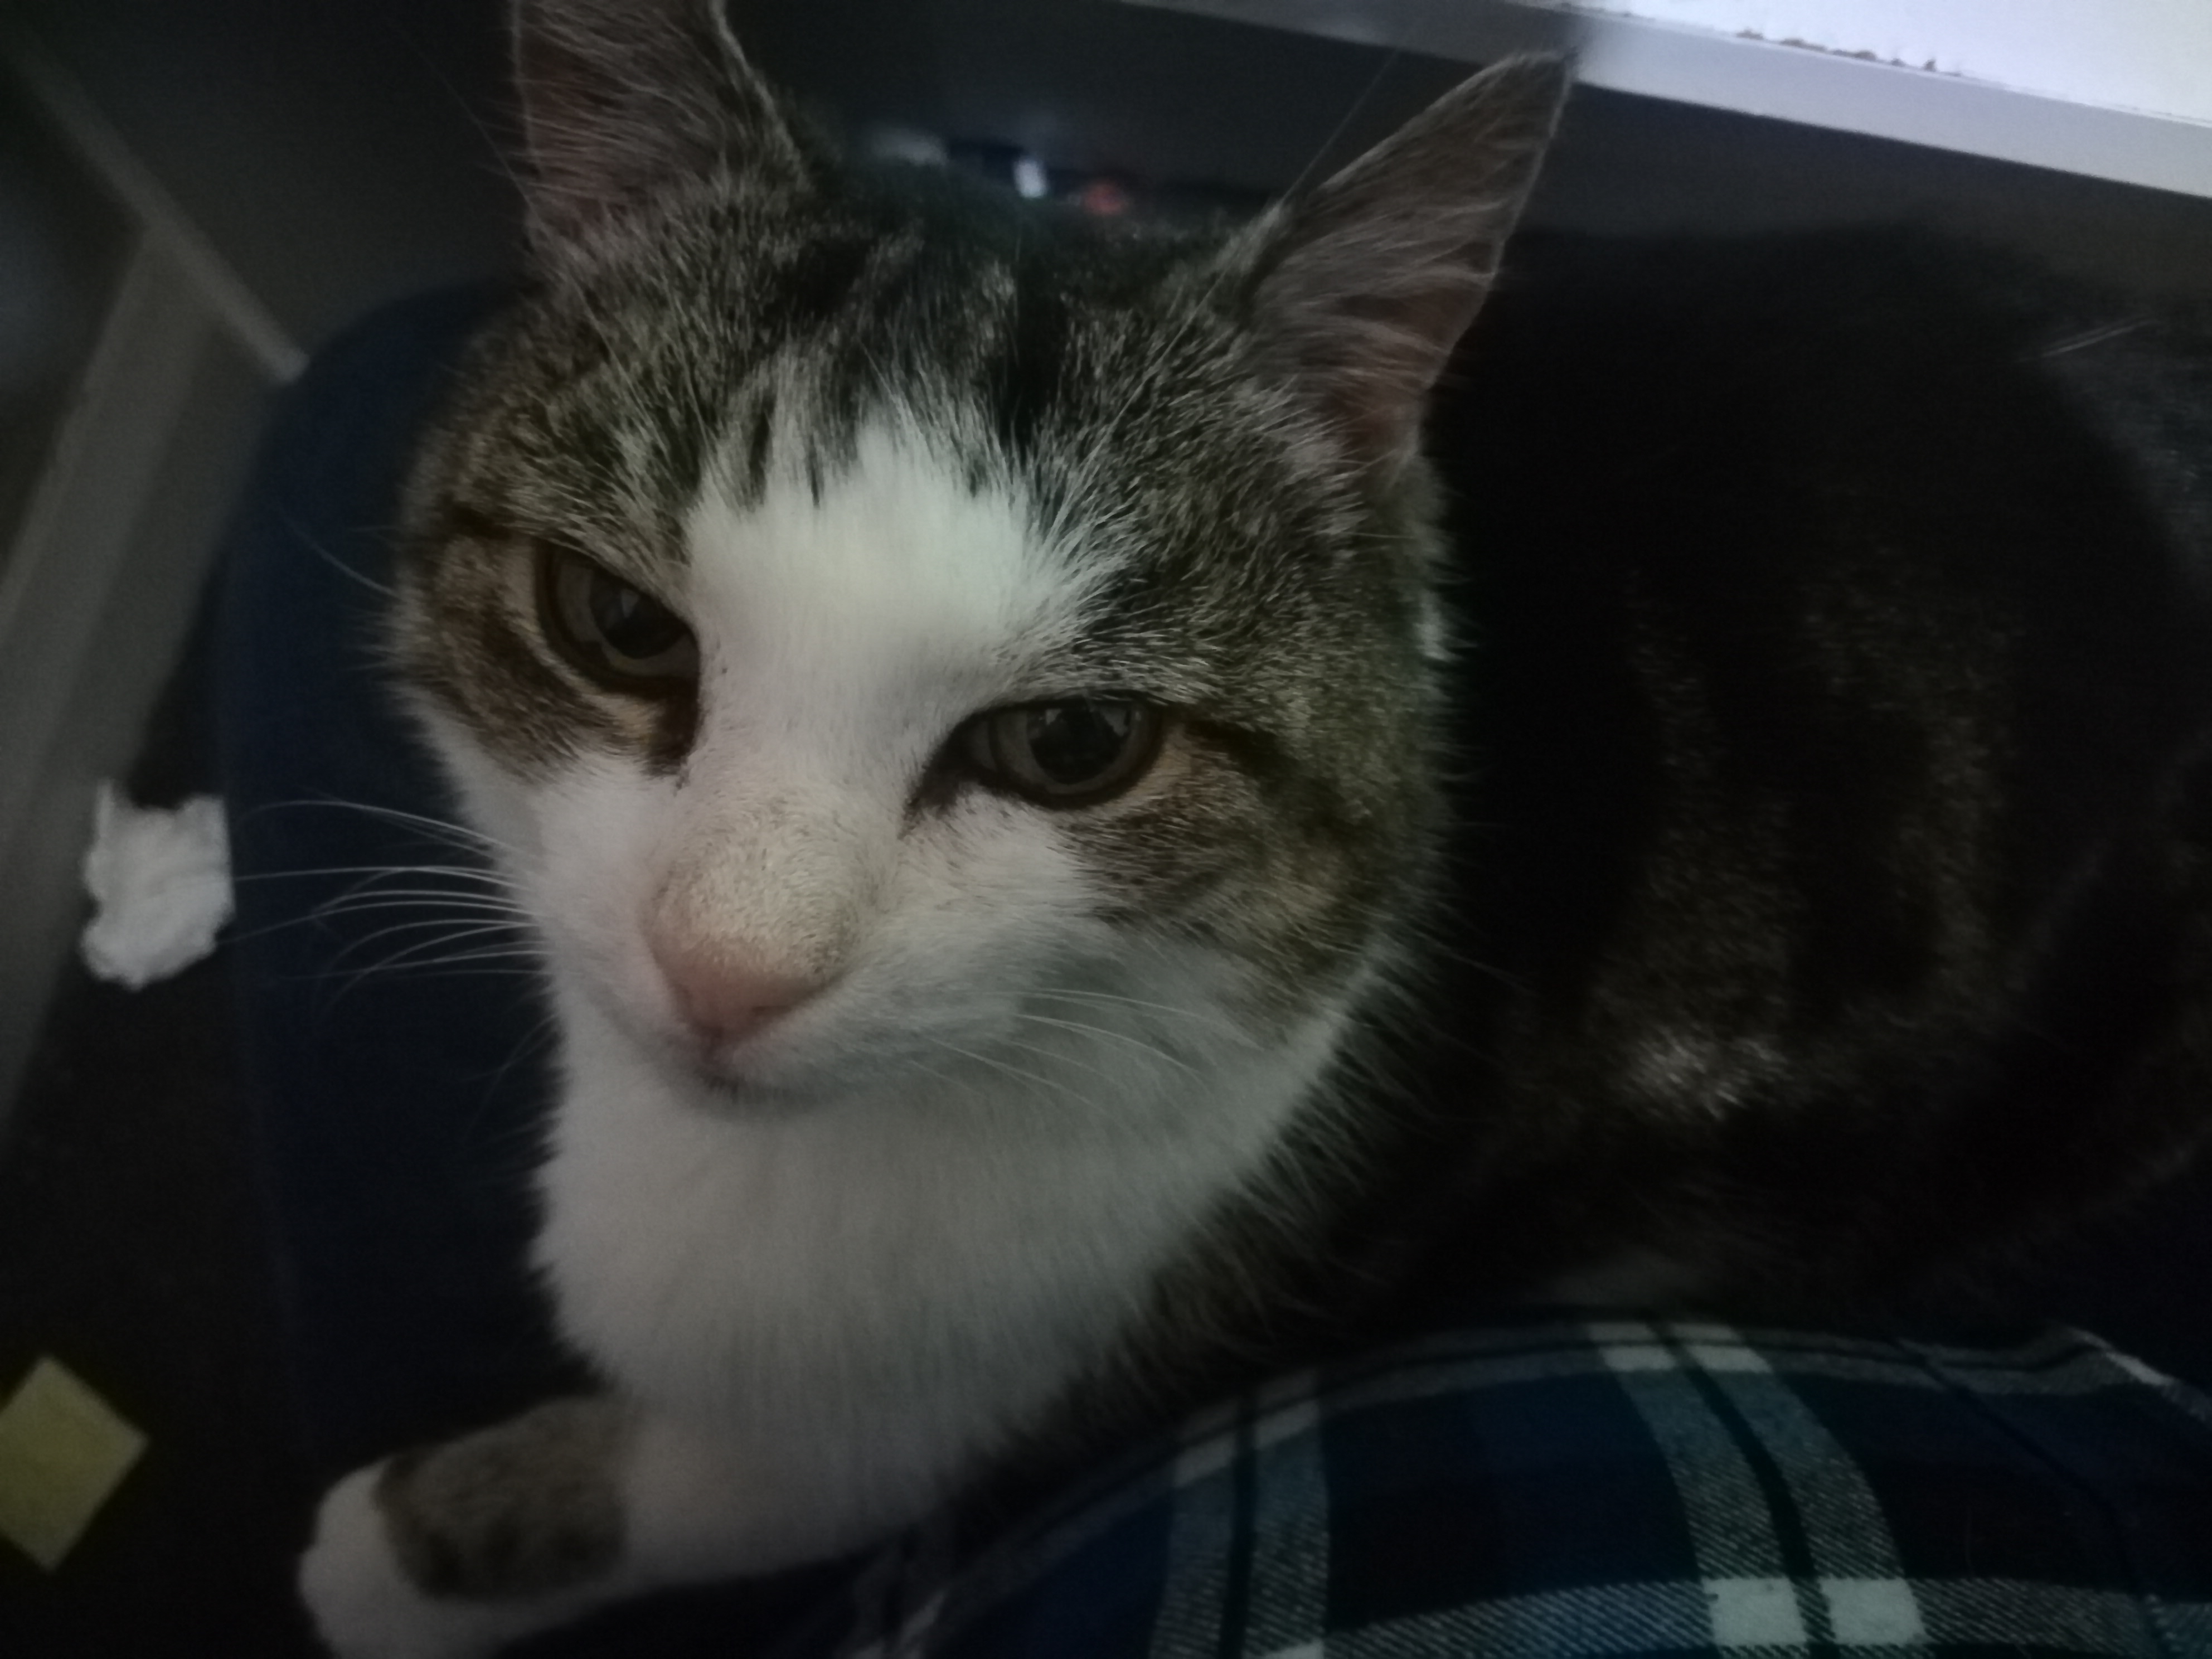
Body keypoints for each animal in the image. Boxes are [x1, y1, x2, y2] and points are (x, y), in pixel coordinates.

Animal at [297, 0, 2212, 1653]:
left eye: (1074, 744)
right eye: (617, 625)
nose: (726, 972)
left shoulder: (1040, 1341)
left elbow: (727, 1479)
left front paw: (393, 1549)